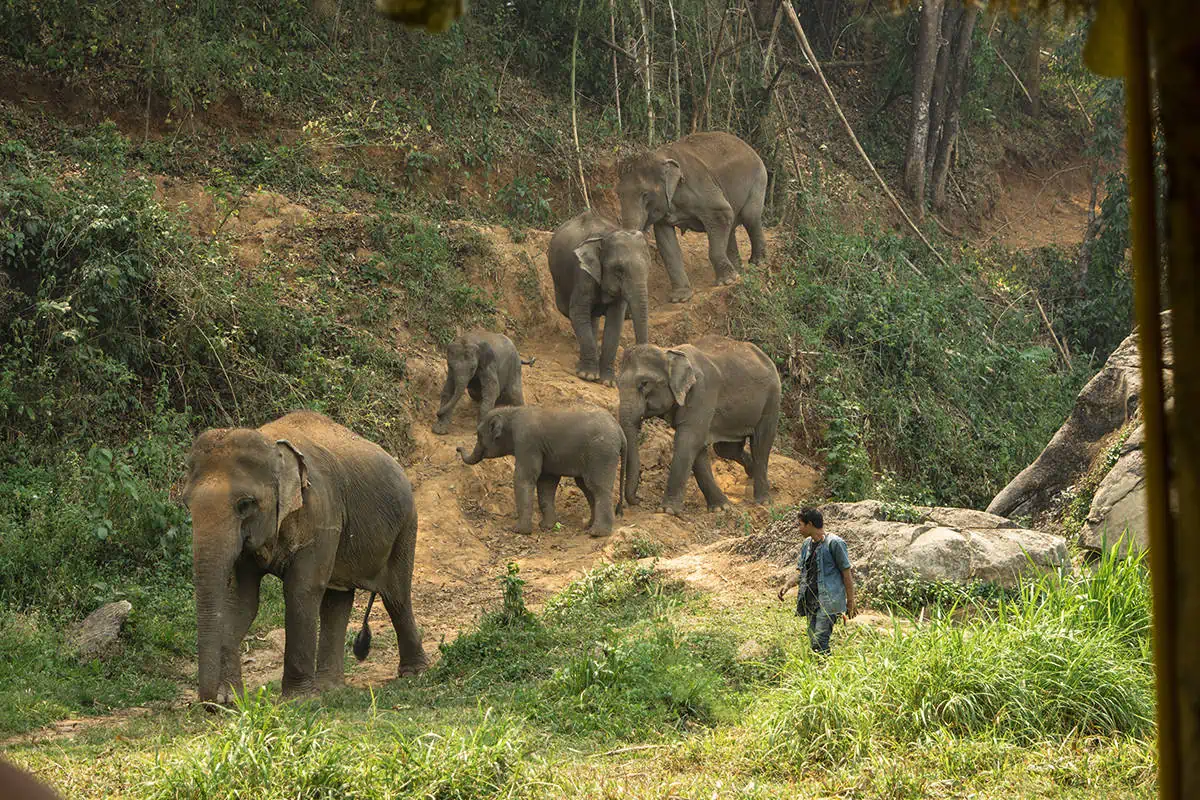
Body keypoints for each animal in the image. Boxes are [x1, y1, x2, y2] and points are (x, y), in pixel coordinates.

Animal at [182, 410, 427, 704]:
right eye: (186, 504)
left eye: (245, 504)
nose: (210, 705)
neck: (271, 443)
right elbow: (241, 600)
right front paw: (231, 699)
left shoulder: (323, 514)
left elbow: (301, 589)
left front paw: (297, 700)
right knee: (337, 599)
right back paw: (330, 688)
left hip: (406, 525)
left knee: (396, 597)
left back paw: (414, 673)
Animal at [456, 405, 626, 537]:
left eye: (479, 435)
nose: (458, 448)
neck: (512, 411)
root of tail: (620, 430)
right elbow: (546, 482)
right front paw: (546, 526)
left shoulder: (526, 442)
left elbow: (524, 478)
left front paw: (519, 530)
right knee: (587, 487)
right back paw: (589, 526)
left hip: (601, 453)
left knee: (597, 487)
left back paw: (597, 533)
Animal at [548, 209, 652, 385]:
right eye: (619, 270)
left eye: (648, 268)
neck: (607, 235)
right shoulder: (583, 273)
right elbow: (578, 312)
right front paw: (588, 376)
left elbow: (615, 322)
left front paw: (608, 382)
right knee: (572, 312)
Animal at [618, 131, 768, 303]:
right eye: (618, 194)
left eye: (645, 194)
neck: (659, 156)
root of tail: (749, 147)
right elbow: (665, 242)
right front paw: (680, 298)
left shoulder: (699, 185)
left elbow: (721, 212)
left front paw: (725, 282)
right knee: (731, 227)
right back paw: (738, 273)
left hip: (759, 179)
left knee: (749, 217)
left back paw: (757, 264)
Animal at [618, 335, 781, 516]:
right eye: (617, 384)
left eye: (644, 383)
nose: (638, 500)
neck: (669, 352)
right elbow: (697, 446)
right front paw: (721, 508)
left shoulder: (702, 392)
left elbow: (688, 440)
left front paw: (667, 510)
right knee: (726, 449)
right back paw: (751, 474)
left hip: (772, 399)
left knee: (761, 443)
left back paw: (763, 501)